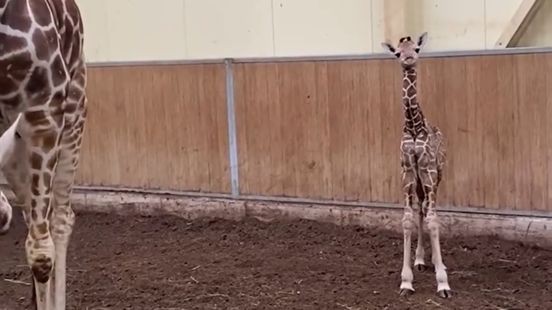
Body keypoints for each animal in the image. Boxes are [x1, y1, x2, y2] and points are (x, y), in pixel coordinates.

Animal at [382, 33, 450, 298]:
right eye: (397, 53)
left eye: (417, 48)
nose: (409, 59)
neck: (413, 125)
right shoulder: (408, 172)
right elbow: (407, 219)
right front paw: (406, 281)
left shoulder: (428, 171)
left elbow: (433, 220)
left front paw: (443, 282)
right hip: (419, 182)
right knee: (420, 208)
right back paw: (420, 260)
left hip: (436, 177)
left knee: (428, 210)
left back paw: (436, 263)